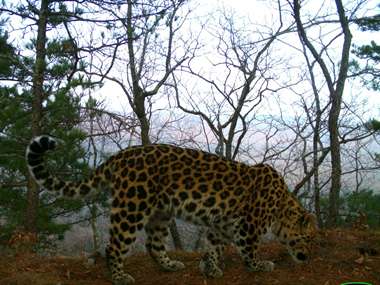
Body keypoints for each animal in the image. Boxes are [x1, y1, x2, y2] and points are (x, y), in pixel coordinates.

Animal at [26, 135, 318, 284]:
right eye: (308, 237)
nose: (308, 257)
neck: (281, 206)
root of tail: (120, 155)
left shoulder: (221, 224)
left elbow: (214, 246)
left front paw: (210, 268)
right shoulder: (248, 226)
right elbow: (249, 249)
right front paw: (260, 265)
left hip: (160, 213)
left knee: (153, 244)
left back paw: (170, 266)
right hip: (132, 207)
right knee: (114, 245)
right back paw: (120, 276)